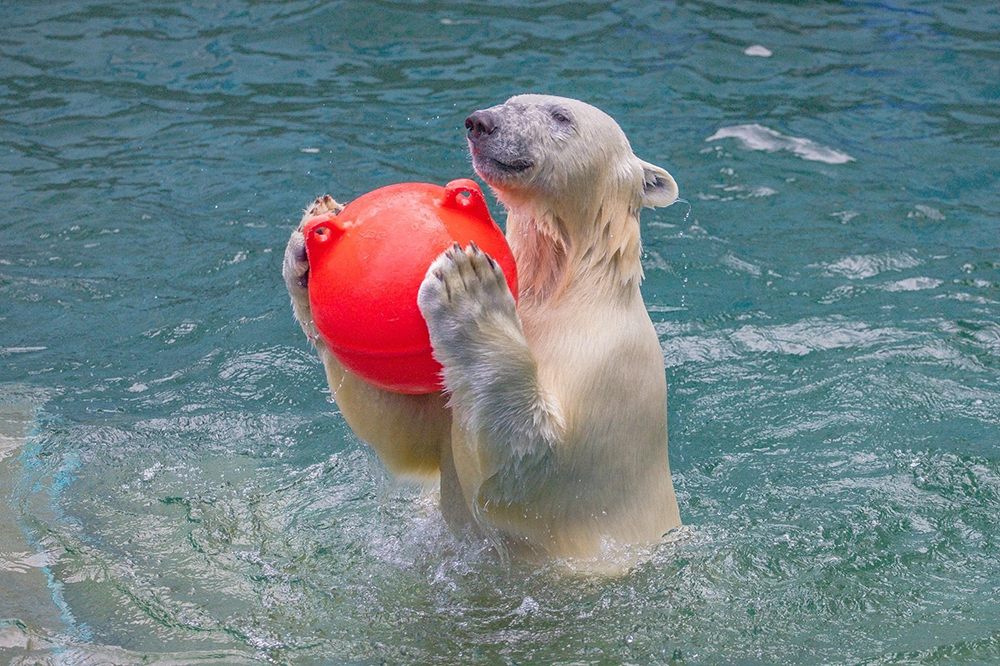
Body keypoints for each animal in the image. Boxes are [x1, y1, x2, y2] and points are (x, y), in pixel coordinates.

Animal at [286, 93, 684, 560]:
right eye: (513, 100)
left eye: (560, 116)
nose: (481, 123)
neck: (564, 289)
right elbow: (406, 433)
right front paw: (307, 241)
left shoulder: (608, 365)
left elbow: (529, 464)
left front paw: (469, 285)